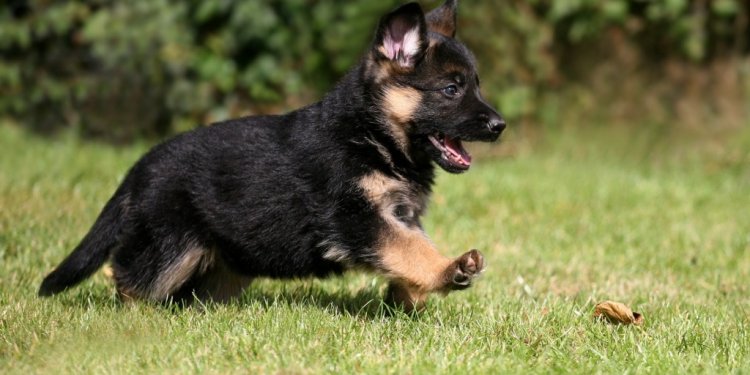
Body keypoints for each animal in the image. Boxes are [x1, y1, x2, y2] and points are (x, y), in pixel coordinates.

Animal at [39, 0, 506, 312]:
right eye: (451, 89)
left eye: (475, 85)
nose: (499, 125)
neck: (370, 134)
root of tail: (139, 168)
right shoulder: (356, 218)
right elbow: (409, 249)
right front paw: (448, 270)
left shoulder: (398, 215)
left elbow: (410, 248)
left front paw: (410, 297)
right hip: (169, 247)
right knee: (129, 277)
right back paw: (133, 317)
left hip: (225, 263)